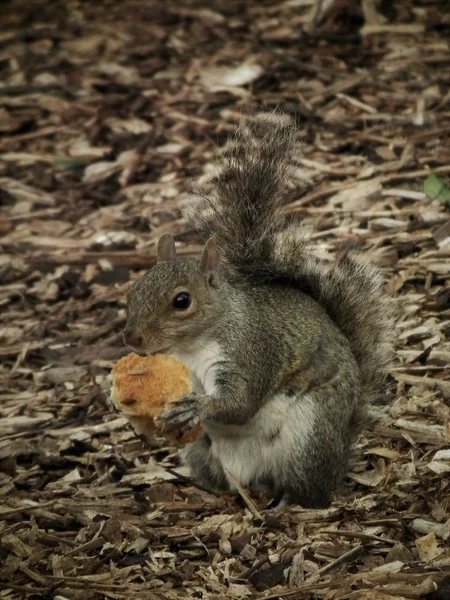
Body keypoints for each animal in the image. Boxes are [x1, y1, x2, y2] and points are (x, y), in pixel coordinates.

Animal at [120, 115, 394, 508]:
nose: (132, 337)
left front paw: (198, 407)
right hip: (200, 451)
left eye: (182, 301)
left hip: (309, 435)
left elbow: (240, 403)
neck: (192, 347)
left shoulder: (251, 351)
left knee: (311, 490)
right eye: (134, 290)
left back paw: (288, 503)